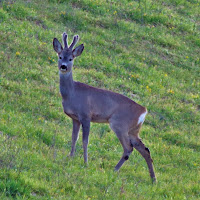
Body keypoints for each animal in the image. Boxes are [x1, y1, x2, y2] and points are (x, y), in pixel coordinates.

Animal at [52, 32, 156, 181]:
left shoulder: (86, 115)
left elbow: (85, 140)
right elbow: (74, 138)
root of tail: (144, 111)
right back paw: (153, 179)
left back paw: (115, 169)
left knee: (128, 148)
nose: (64, 66)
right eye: (60, 57)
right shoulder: (75, 118)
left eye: (71, 58)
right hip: (133, 130)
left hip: (119, 124)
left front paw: (85, 162)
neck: (72, 93)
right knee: (145, 149)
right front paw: (70, 156)